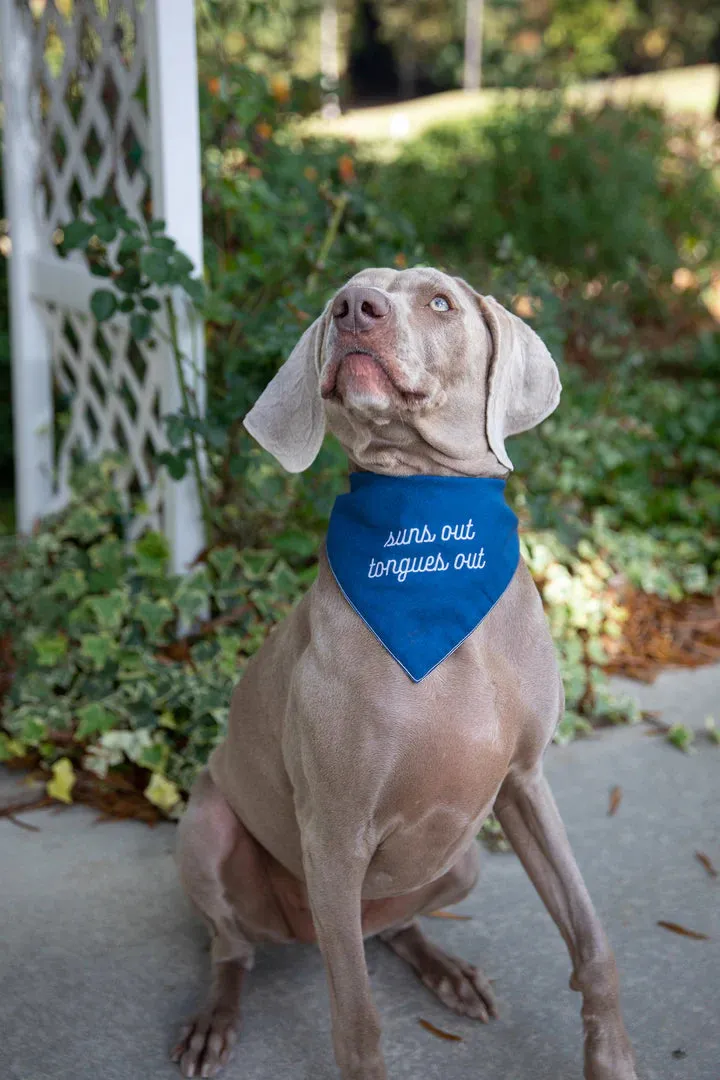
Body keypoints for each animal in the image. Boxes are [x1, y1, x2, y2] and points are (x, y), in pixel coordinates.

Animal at [171, 263, 639, 1080]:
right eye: (343, 294)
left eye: (441, 302)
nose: (353, 309)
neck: (427, 539)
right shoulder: (334, 832)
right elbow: (359, 1026)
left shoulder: (524, 782)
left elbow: (591, 936)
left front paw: (609, 1057)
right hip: (206, 831)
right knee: (234, 948)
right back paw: (214, 1020)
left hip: (463, 859)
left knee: (392, 927)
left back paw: (447, 970)